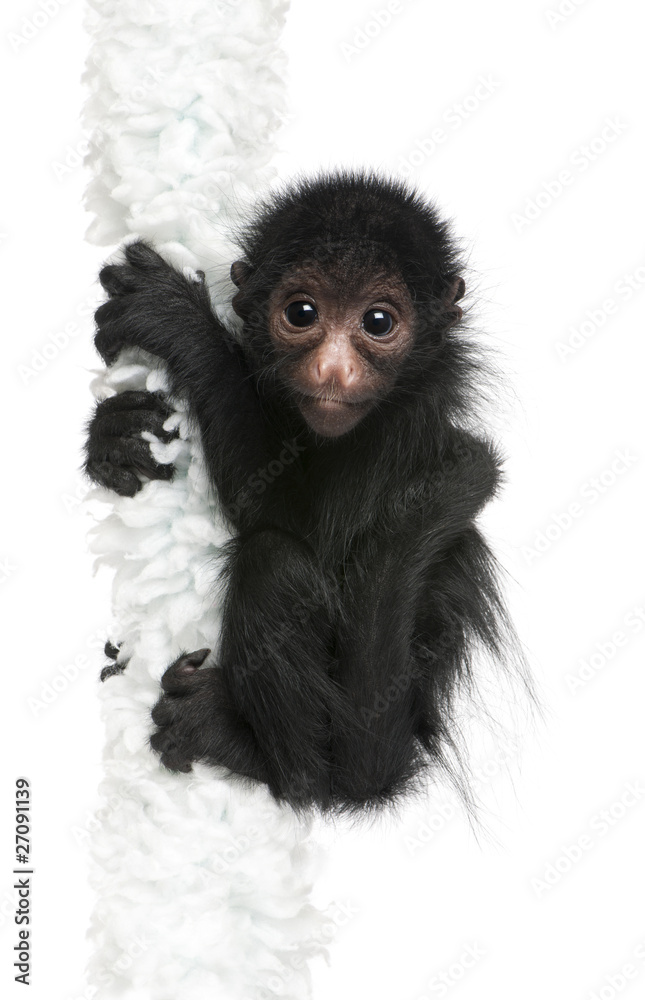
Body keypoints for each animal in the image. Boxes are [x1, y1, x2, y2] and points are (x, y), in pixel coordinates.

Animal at [85, 170, 515, 814]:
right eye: (302, 312)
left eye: (378, 322)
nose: (334, 370)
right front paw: (115, 436)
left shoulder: (402, 423)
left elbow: (294, 525)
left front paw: (180, 324)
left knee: (274, 562)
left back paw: (262, 757)